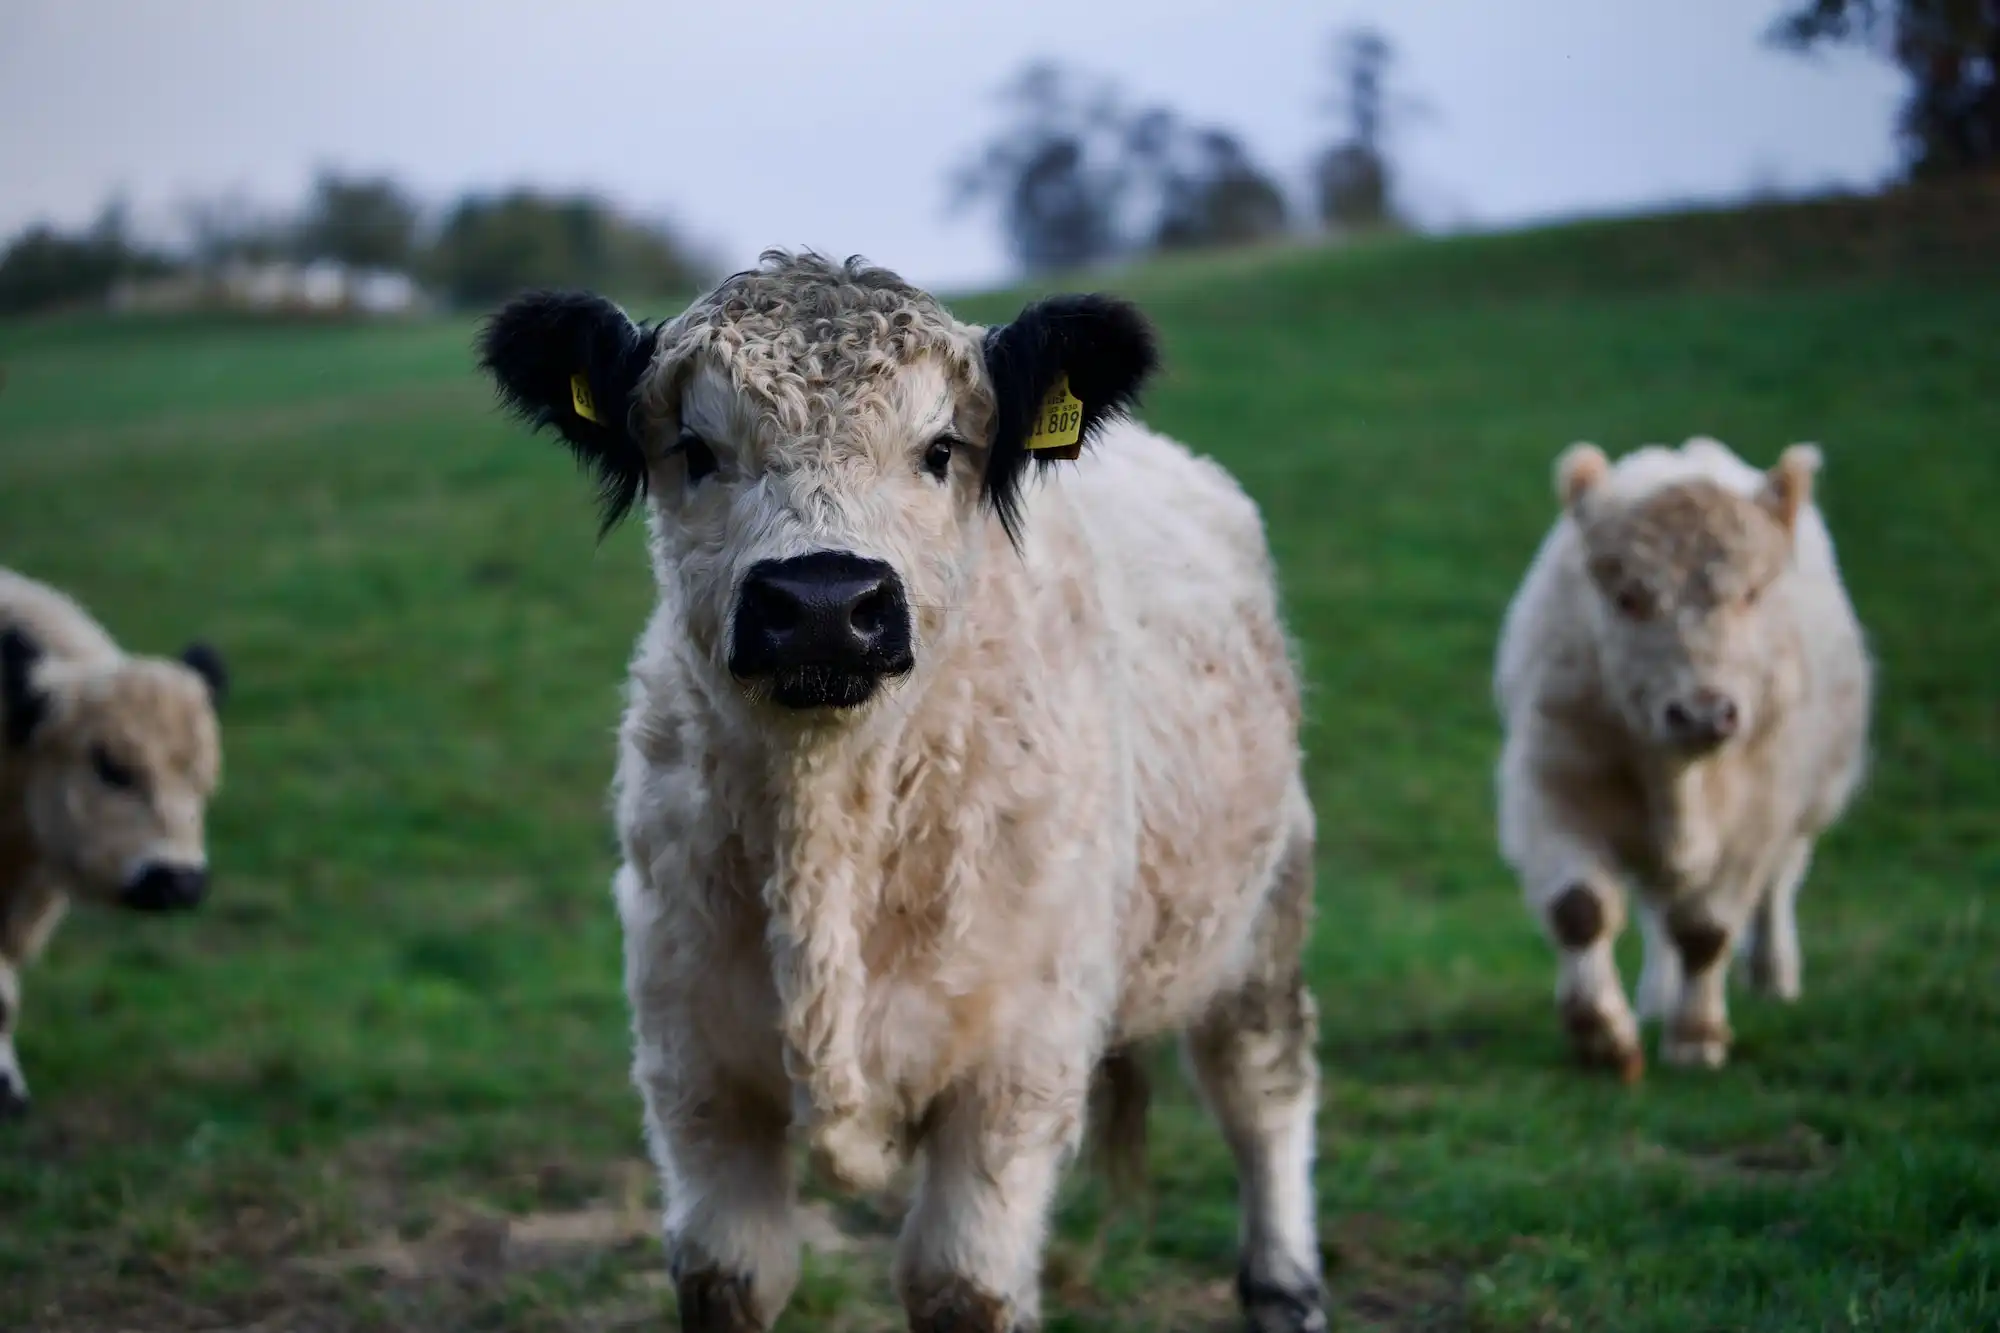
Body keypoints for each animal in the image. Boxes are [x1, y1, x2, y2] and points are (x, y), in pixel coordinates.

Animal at [478, 251, 1325, 1332]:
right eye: (695, 448)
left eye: (940, 448)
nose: (823, 603)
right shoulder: (692, 1072)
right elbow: (730, 1273)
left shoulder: (1016, 1077)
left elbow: (959, 1282)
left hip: (1265, 901)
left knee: (1262, 1084)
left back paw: (1283, 1282)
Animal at [1494, 436, 1871, 1078]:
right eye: (1628, 598)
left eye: (1751, 593)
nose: (1702, 713)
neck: (1679, 783)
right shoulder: (1551, 785)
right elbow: (1580, 909)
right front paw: (1602, 1033)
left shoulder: (1760, 813)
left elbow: (1706, 930)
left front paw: (1697, 1037)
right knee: (1657, 905)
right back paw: (1655, 996)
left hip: (1809, 803)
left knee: (1777, 886)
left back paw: (1772, 974)